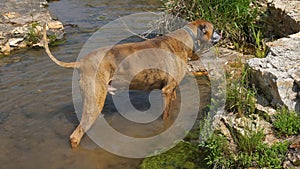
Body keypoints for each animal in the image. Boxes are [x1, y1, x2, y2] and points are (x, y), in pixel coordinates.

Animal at [42, 19, 220, 148]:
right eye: (214, 28)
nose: (222, 33)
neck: (185, 39)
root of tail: (81, 62)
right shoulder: (167, 91)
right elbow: (166, 118)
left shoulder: (172, 91)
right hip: (94, 102)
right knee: (75, 136)